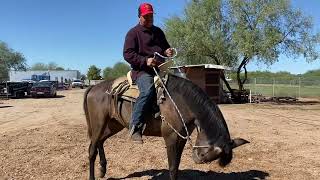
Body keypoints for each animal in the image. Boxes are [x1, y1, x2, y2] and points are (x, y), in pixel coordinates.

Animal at [82, 73, 248, 180]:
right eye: (204, 155)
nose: (196, 158)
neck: (181, 101)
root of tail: (93, 88)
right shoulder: (171, 138)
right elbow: (172, 167)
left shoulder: (181, 139)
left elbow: (177, 165)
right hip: (99, 123)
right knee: (92, 149)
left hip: (113, 124)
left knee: (100, 142)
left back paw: (103, 170)